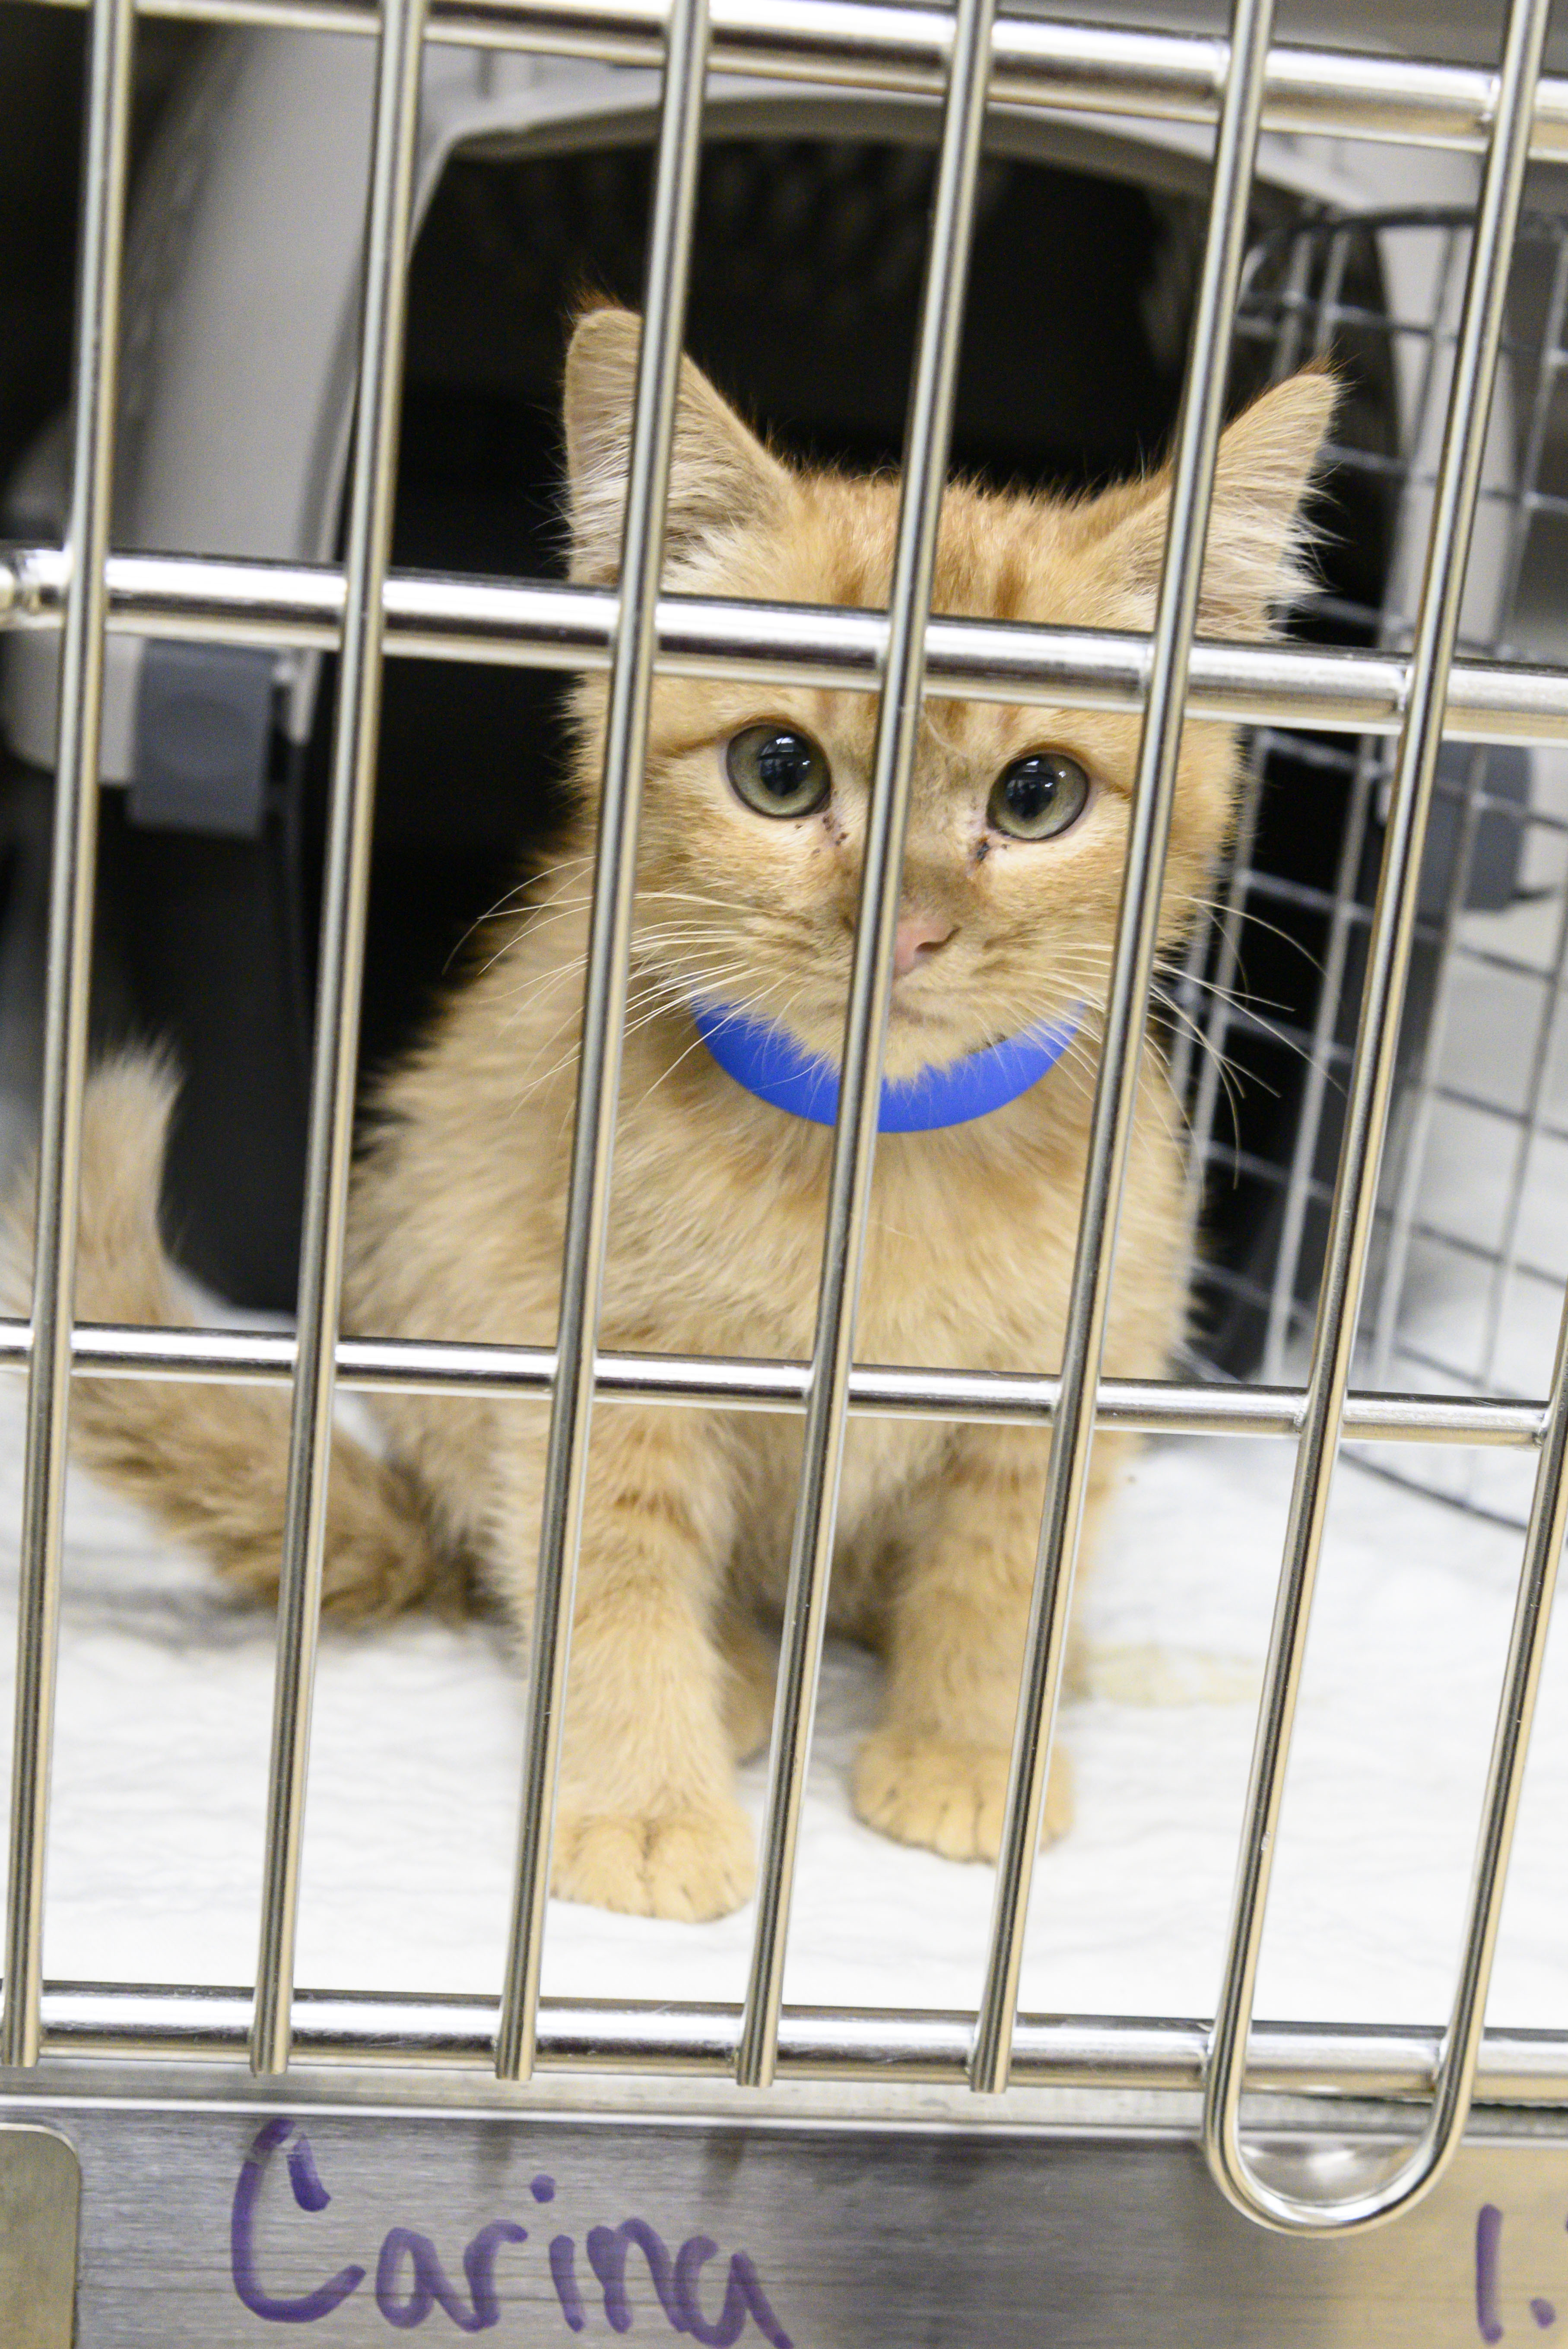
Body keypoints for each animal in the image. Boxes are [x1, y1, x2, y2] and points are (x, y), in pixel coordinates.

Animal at [15, 308, 1333, 1926]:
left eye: (1037, 795)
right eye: (780, 769)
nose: (902, 930)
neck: (875, 1169)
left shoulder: (1064, 1391)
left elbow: (1000, 1575)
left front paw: (973, 1749)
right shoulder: (594, 1370)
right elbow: (611, 1586)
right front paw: (647, 1804)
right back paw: (742, 1676)